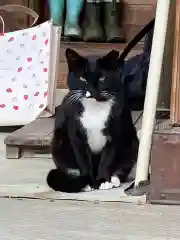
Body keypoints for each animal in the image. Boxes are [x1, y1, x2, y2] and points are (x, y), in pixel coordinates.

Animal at [46, 18, 155, 193]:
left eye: (102, 78)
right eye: (82, 78)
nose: (91, 90)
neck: (95, 107)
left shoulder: (114, 132)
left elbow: (107, 159)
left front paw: (104, 180)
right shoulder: (76, 134)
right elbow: (83, 160)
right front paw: (88, 181)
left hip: (132, 141)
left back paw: (115, 178)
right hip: (59, 141)